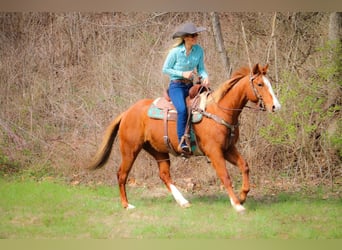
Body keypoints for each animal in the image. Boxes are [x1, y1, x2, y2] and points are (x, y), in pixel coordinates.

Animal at [87, 63, 280, 213]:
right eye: (260, 84)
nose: (275, 106)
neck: (219, 110)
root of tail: (127, 112)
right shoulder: (214, 152)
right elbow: (225, 176)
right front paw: (237, 205)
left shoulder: (228, 149)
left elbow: (244, 166)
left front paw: (242, 196)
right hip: (130, 150)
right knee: (122, 175)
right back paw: (127, 205)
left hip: (158, 150)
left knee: (164, 175)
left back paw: (183, 201)